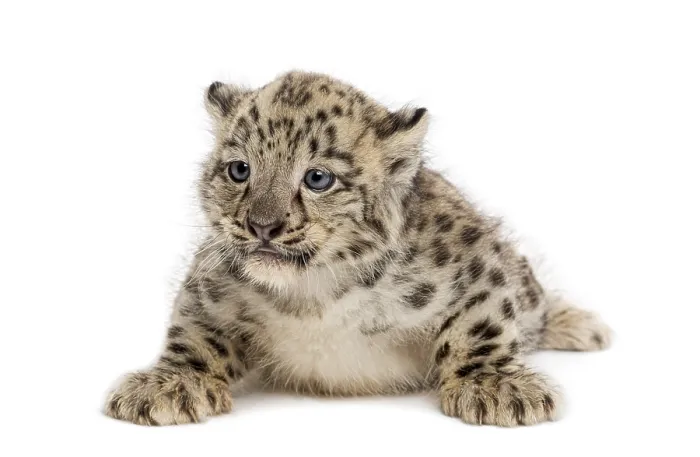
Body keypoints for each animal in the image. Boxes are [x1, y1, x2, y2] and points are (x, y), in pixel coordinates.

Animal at [104, 71, 612, 427]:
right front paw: (171, 383)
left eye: (317, 178)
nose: (262, 226)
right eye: (239, 170)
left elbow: (481, 325)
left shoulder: (476, 259)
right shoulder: (210, 283)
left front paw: (496, 386)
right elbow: (194, 334)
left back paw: (582, 326)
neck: (312, 296)